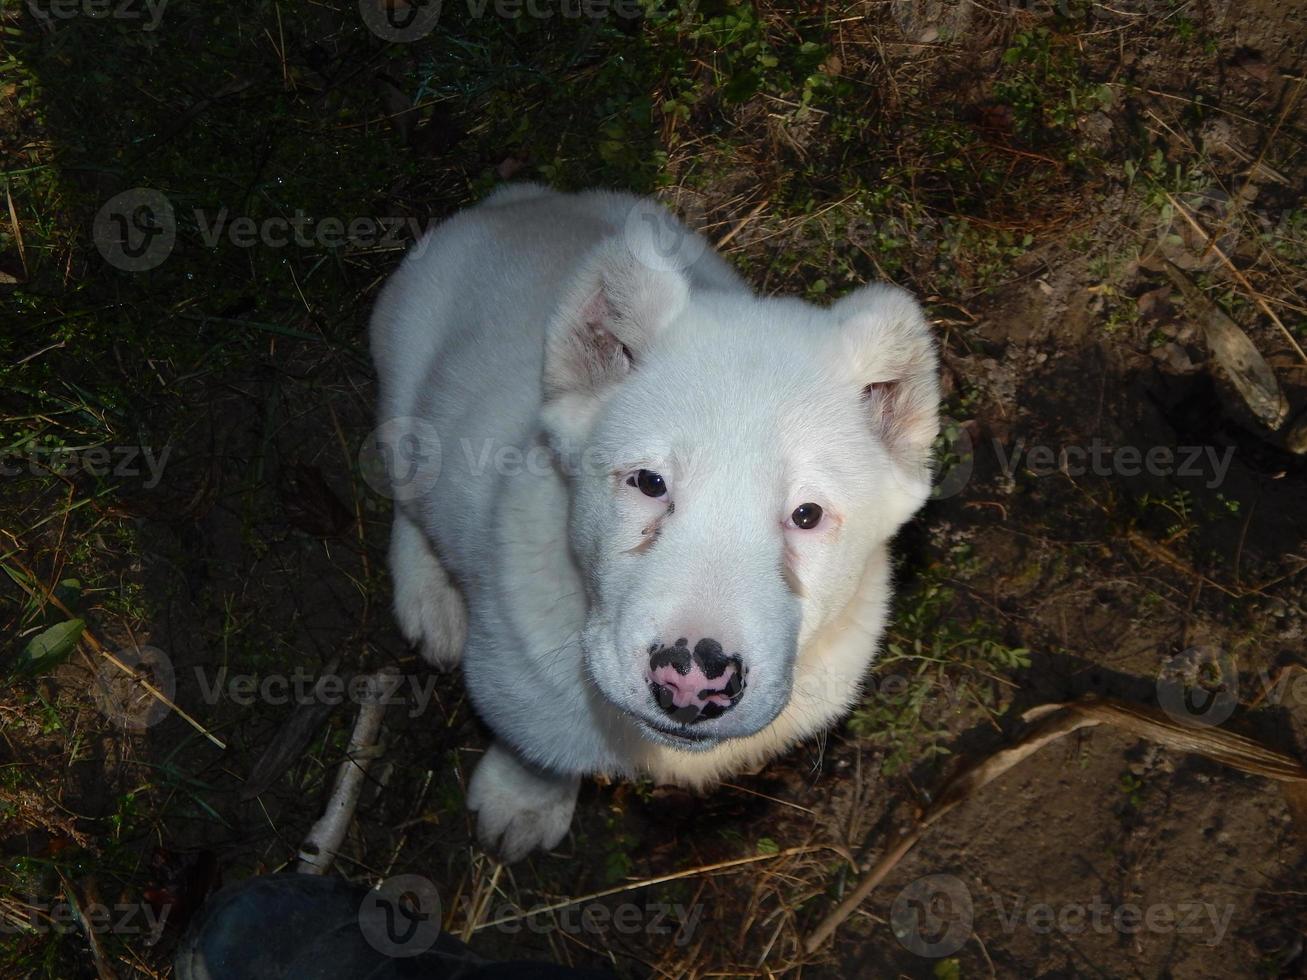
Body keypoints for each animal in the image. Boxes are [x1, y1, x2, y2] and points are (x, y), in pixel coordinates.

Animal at [368, 184, 941, 857]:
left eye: (807, 514)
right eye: (649, 482)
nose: (693, 684)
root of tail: (522, 199)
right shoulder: (517, 680)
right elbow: (538, 749)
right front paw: (522, 803)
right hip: (404, 389)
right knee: (406, 495)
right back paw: (429, 598)